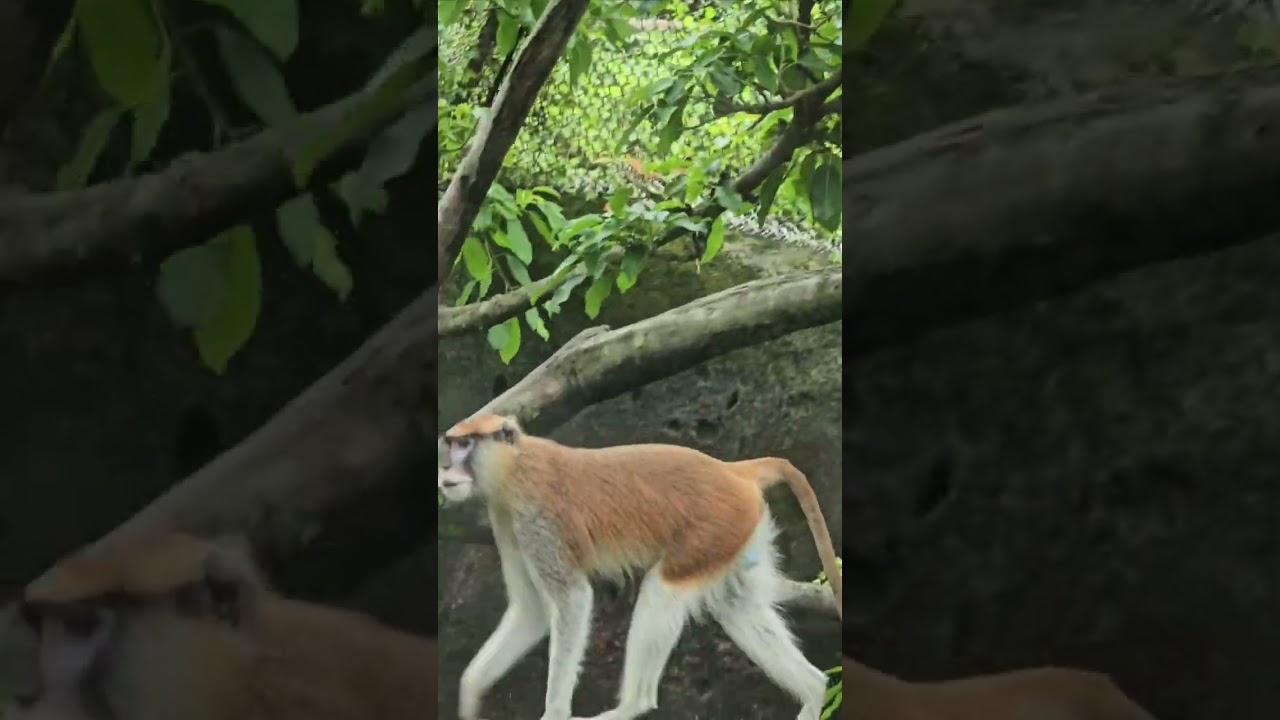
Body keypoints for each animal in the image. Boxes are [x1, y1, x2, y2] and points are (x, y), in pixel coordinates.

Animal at [438, 412, 842, 720]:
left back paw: (632, 706)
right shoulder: (505, 517)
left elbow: (572, 600)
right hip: (734, 532)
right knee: (736, 604)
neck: (515, 464)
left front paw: (554, 713)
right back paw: (814, 688)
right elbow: (531, 610)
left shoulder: (537, 518)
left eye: (466, 445)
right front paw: (469, 695)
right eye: (453, 444)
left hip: (714, 526)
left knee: (663, 589)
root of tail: (733, 471)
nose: (447, 472)